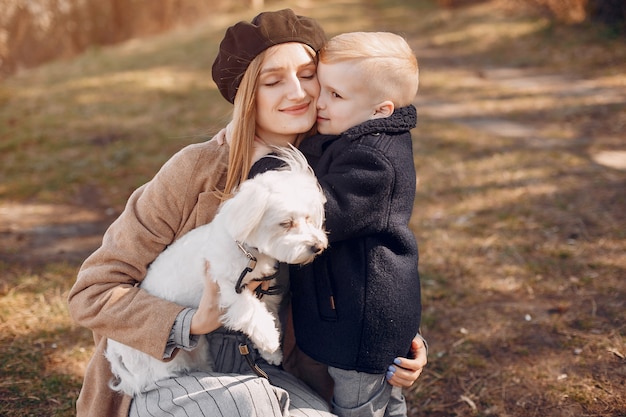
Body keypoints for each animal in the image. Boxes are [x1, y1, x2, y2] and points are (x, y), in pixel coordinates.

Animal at [103, 145, 326, 394]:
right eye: (286, 223)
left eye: (308, 218)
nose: (317, 246)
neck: (248, 251)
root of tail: (117, 350)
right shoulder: (229, 289)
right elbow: (252, 312)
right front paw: (269, 340)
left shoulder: (263, 289)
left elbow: (268, 313)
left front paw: (272, 352)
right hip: (163, 363)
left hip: (198, 349)